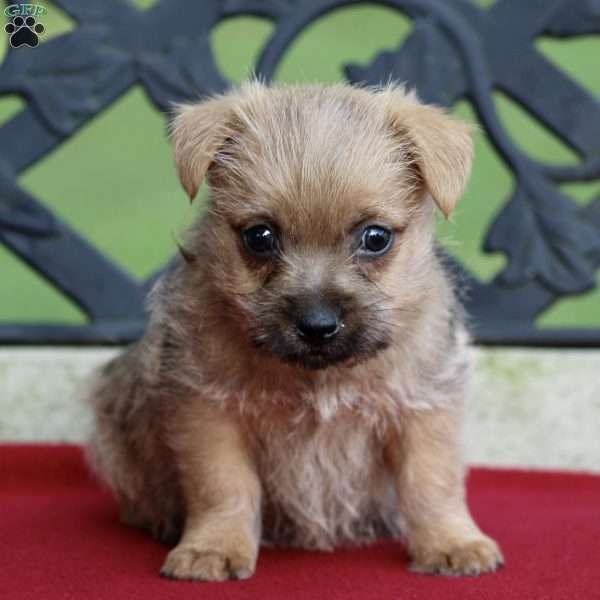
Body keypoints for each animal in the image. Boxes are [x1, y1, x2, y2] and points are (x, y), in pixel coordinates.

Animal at [86, 81, 504, 580]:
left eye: (376, 237)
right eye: (259, 237)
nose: (317, 325)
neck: (318, 378)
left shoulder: (422, 408)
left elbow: (432, 482)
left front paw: (452, 542)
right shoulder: (208, 412)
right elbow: (223, 487)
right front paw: (213, 547)